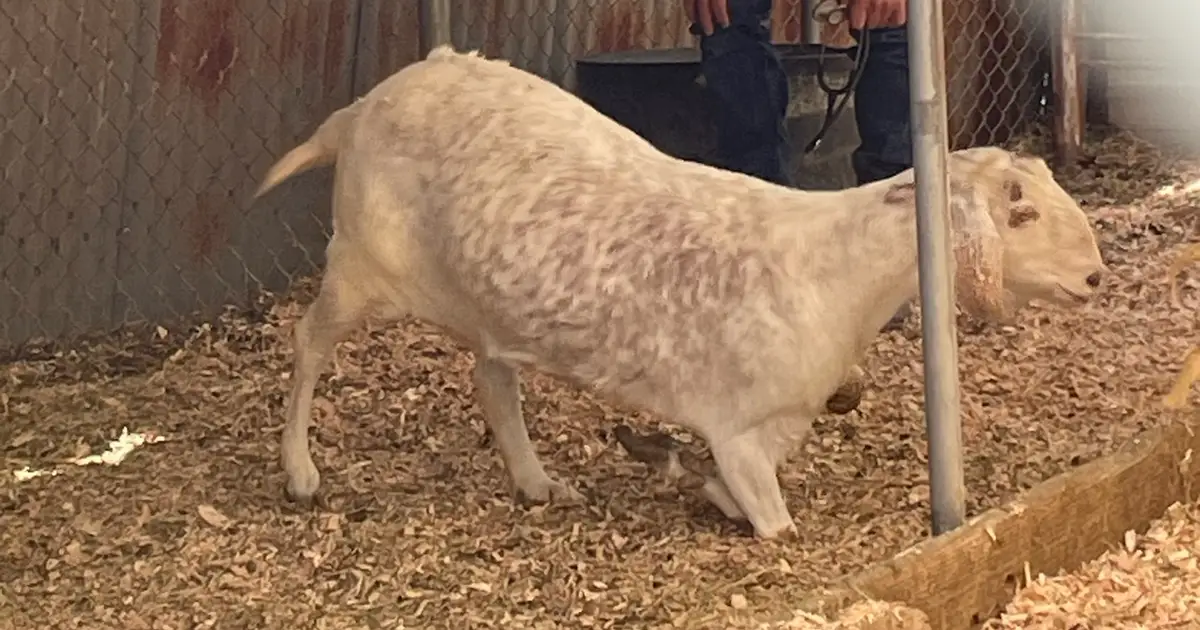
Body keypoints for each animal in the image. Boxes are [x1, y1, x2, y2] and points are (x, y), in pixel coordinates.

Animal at [254, 46, 1107, 539]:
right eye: (1020, 212)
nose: (1096, 276)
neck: (832, 268)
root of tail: (368, 103)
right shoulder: (740, 430)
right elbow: (775, 527)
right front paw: (673, 466)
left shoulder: (769, 425)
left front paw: (666, 462)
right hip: (364, 261)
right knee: (307, 342)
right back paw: (299, 473)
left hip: (484, 302)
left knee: (491, 377)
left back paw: (536, 482)